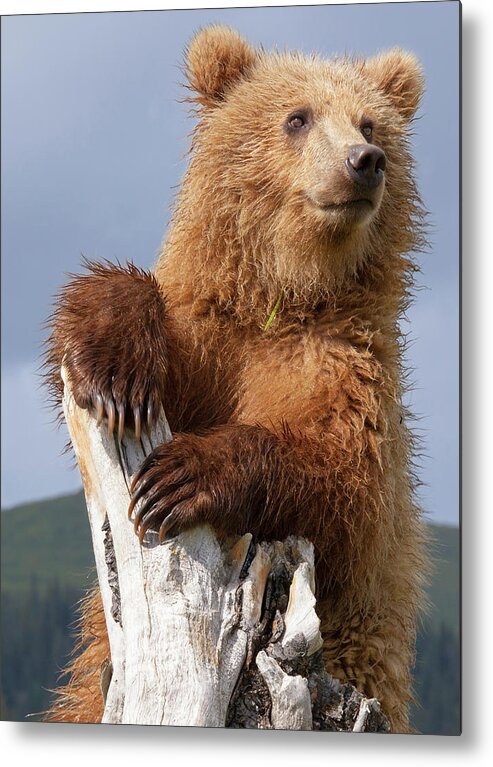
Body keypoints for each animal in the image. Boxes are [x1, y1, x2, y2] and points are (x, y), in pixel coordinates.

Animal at [43, 24, 426, 732]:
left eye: (369, 122)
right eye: (297, 117)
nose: (364, 160)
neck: (288, 291)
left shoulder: (346, 371)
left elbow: (338, 471)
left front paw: (179, 478)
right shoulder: (212, 343)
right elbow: (122, 314)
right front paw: (116, 371)